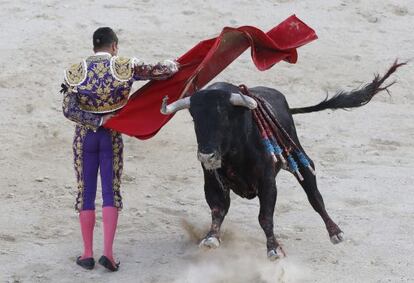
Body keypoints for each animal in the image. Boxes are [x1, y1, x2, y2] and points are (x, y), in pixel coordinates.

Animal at [161, 61, 404, 260]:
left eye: (224, 116)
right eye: (195, 118)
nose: (206, 155)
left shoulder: (267, 182)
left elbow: (265, 217)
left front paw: (274, 249)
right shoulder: (211, 179)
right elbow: (218, 208)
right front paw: (211, 237)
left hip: (300, 160)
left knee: (315, 197)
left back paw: (335, 232)